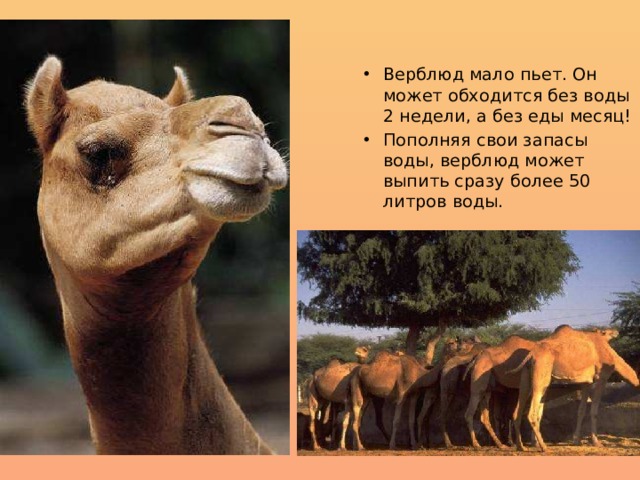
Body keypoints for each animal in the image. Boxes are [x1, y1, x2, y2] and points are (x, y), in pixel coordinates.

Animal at [511, 326, 640, 451]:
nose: (617, 332)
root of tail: (531, 355)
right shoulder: (601, 377)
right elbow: (594, 411)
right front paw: (597, 442)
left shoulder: (587, 382)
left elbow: (581, 410)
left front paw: (576, 440)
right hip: (541, 374)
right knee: (532, 413)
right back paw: (543, 447)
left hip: (527, 376)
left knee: (519, 411)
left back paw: (521, 446)